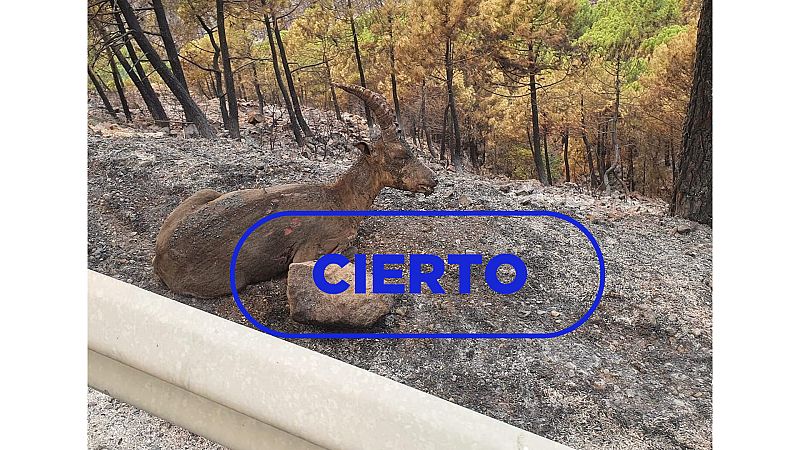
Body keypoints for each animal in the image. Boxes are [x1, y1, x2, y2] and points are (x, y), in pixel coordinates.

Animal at [153, 84, 438, 298]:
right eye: (400, 155)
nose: (432, 180)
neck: (339, 200)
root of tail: (160, 259)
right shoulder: (309, 250)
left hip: (205, 192)